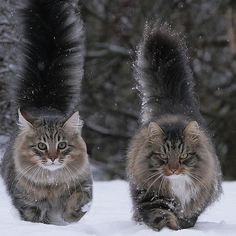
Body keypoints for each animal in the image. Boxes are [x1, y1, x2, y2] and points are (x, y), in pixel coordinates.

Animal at [0, 0, 92, 225]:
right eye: (42, 146)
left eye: (62, 145)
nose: (52, 158)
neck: (52, 184)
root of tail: (43, 103)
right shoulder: (27, 202)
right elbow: (38, 218)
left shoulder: (84, 183)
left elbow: (77, 200)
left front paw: (70, 215)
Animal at [126, 23, 222, 230]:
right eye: (163, 156)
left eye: (184, 156)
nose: (173, 169)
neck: (177, 184)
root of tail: (171, 102)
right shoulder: (151, 196)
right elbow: (161, 215)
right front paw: (170, 229)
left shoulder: (195, 200)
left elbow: (188, 217)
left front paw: (183, 228)